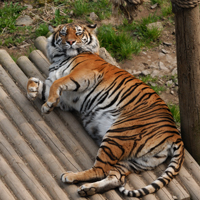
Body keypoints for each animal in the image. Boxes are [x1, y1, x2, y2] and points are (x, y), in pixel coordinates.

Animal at [27, 22, 184, 198]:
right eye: (63, 33)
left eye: (78, 33)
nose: (71, 42)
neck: (60, 57)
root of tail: (175, 134)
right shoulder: (66, 97)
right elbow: (34, 81)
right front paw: (33, 91)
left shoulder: (83, 74)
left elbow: (57, 83)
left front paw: (47, 106)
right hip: (136, 160)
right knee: (117, 177)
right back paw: (89, 189)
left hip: (118, 136)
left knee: (100, 169)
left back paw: (71, 177)